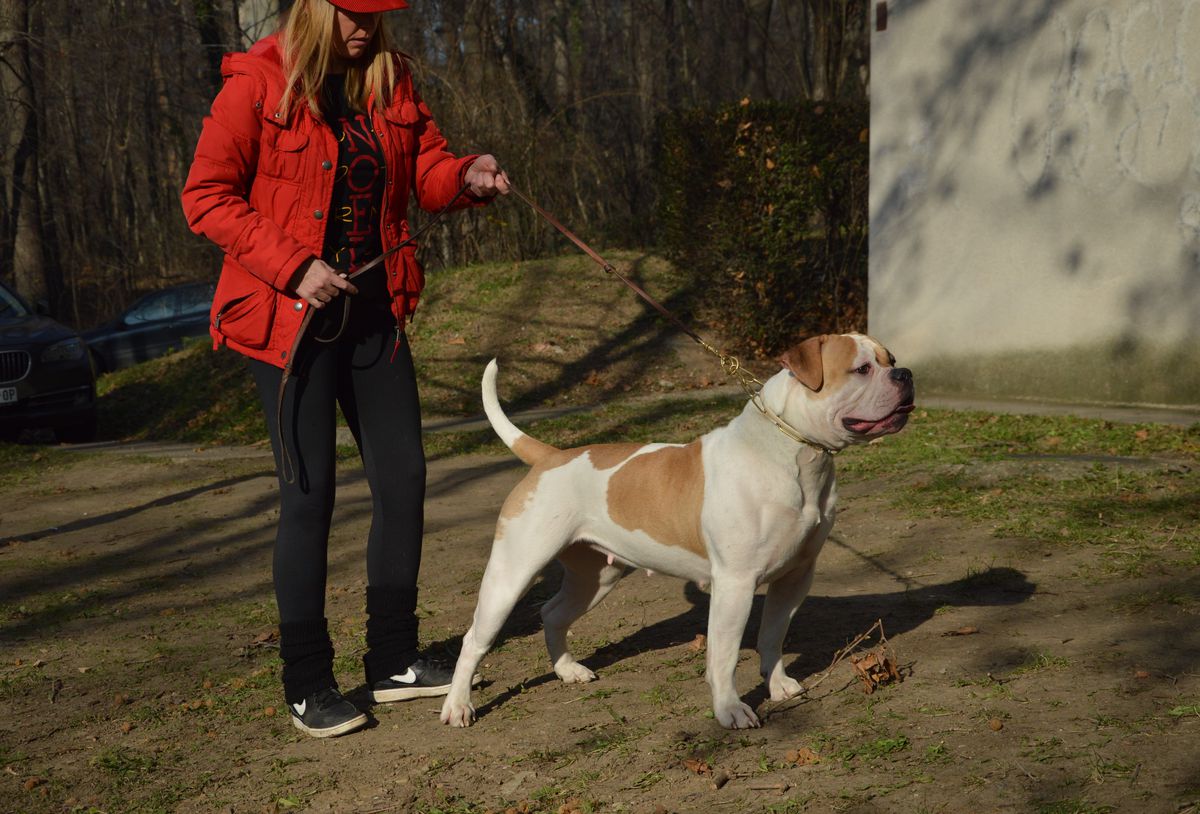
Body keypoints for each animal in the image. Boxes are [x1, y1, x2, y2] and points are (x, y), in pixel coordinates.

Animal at [444, 333, 916, 729]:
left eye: (890, 360)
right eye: (861, 369)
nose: (906, 374)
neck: (793, 451)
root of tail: (550, 456)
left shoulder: (795, 576)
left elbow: (772, 635)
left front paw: (778, 684)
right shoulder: (735, 584)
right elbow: (724, 656)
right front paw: (730, 710)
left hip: (596, 576)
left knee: (552, 612)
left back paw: (568, 670)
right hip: (512, 573)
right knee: (474, 639)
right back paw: (458, 705)